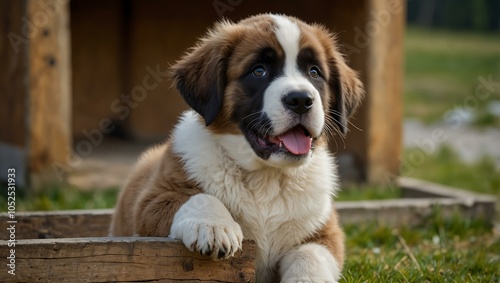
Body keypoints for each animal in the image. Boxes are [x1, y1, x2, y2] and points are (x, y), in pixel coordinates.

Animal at [110, 13, 364, 283]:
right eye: (259, 71)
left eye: (314, 72)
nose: (301, 100)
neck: (267, 176)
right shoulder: (151, 203)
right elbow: (198, 197)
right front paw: (213, 226)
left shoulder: (325, 233)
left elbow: (311, 255)